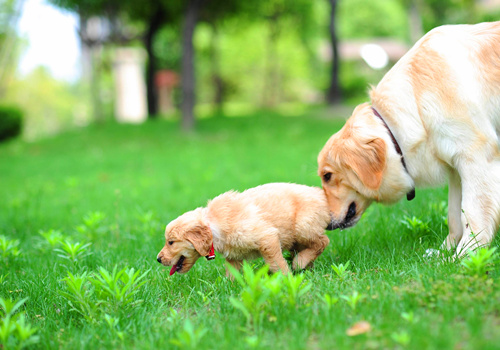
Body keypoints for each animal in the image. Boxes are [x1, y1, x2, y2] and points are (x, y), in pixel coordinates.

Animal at [157, 183, 332, 276]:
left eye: (171, 242)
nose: (158, 259)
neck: (213, 224)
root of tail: (320, 192)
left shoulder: (267, 237)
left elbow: (276, 263)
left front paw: (286, 279)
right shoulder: (233, 256)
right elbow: (232, 274)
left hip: (303, 226)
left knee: (323, 241)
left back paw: (299, 262)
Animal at [318, 22, 498, 258]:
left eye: (328, 176)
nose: (326, 224)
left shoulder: (476, 157)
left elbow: (472, 213)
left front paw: (466, 255)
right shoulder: (455, 168)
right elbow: (454, 215)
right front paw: (444, 254)